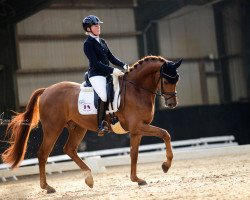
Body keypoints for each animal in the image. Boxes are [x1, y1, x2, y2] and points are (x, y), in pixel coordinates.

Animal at [1, 55, 182, 193]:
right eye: (166, 80)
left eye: (177, 79)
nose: (172, 103)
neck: (136, 89)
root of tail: (46, 90)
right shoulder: (138, 126)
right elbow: (165, 134)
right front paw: (166, 165)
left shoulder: (136, 130)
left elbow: (134, 154)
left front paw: (136, 179)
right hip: (53, 128)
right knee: (43, 154)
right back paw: (47, 187)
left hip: (78, 128)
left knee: (69, 149)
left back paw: (89, 178)